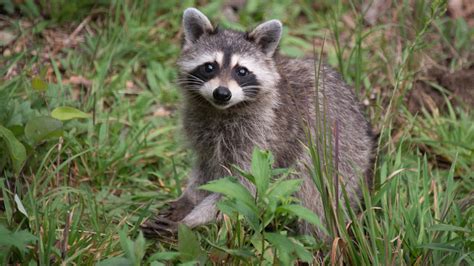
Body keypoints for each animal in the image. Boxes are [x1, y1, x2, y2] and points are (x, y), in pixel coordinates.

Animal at [141, 8, 374, 238]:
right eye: (209, 67)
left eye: (241, 71)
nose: (222, 93)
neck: (222, 111)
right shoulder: (202, 129)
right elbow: (207, 170)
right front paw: (189, 199)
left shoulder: (261, 137)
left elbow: (241, 189)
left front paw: (191, 220)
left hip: (341, 158)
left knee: (314, 197)